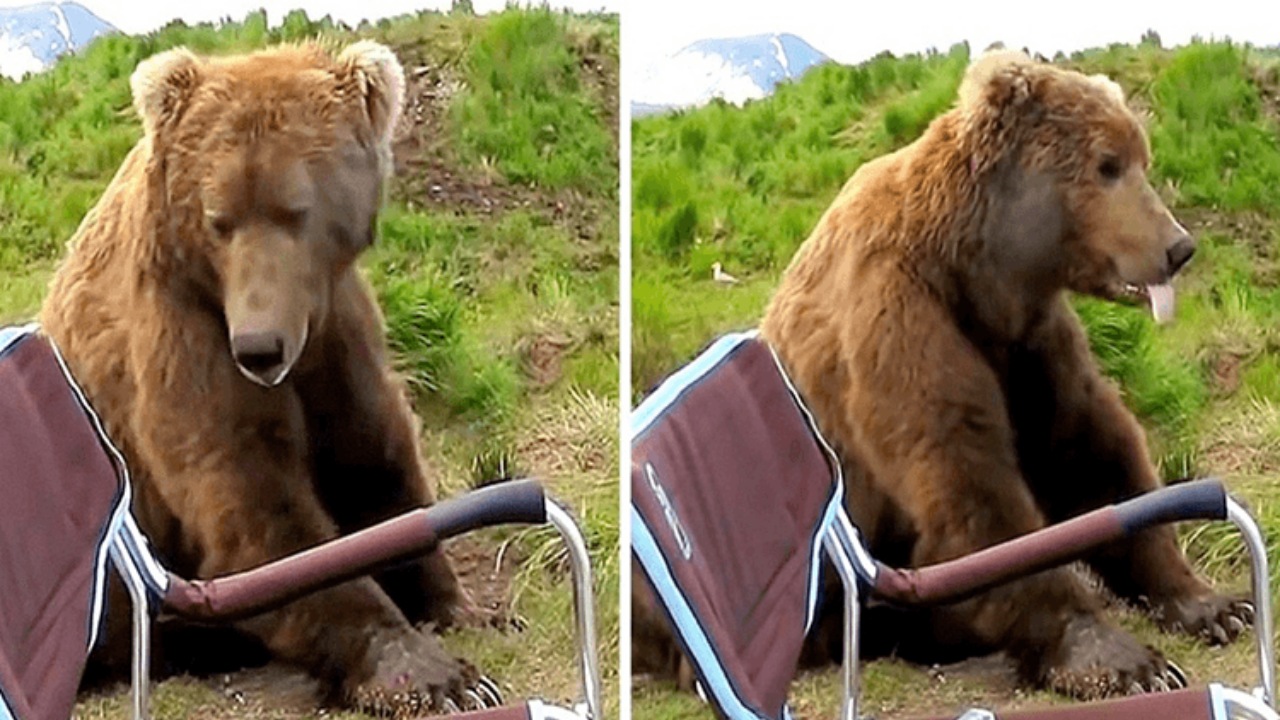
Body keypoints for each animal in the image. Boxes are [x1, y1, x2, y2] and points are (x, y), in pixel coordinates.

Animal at [40, 40, 481, 712]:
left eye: (296, 210)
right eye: (219, 218)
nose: (259, 347)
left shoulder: (338, 335)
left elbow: (376, 459)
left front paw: (455, 603)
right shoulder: (183, 334)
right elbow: (256, 512)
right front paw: (430, 673)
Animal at [757, 50, 1249, 696]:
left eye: (1142, 158)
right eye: (1107, 165)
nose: (1178, 247)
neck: (978, 269)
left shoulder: (1027, 342)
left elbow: (1091, 450)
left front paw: (1211, 605)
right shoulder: (900, 318)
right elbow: (970, 480)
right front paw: (1124, 659)